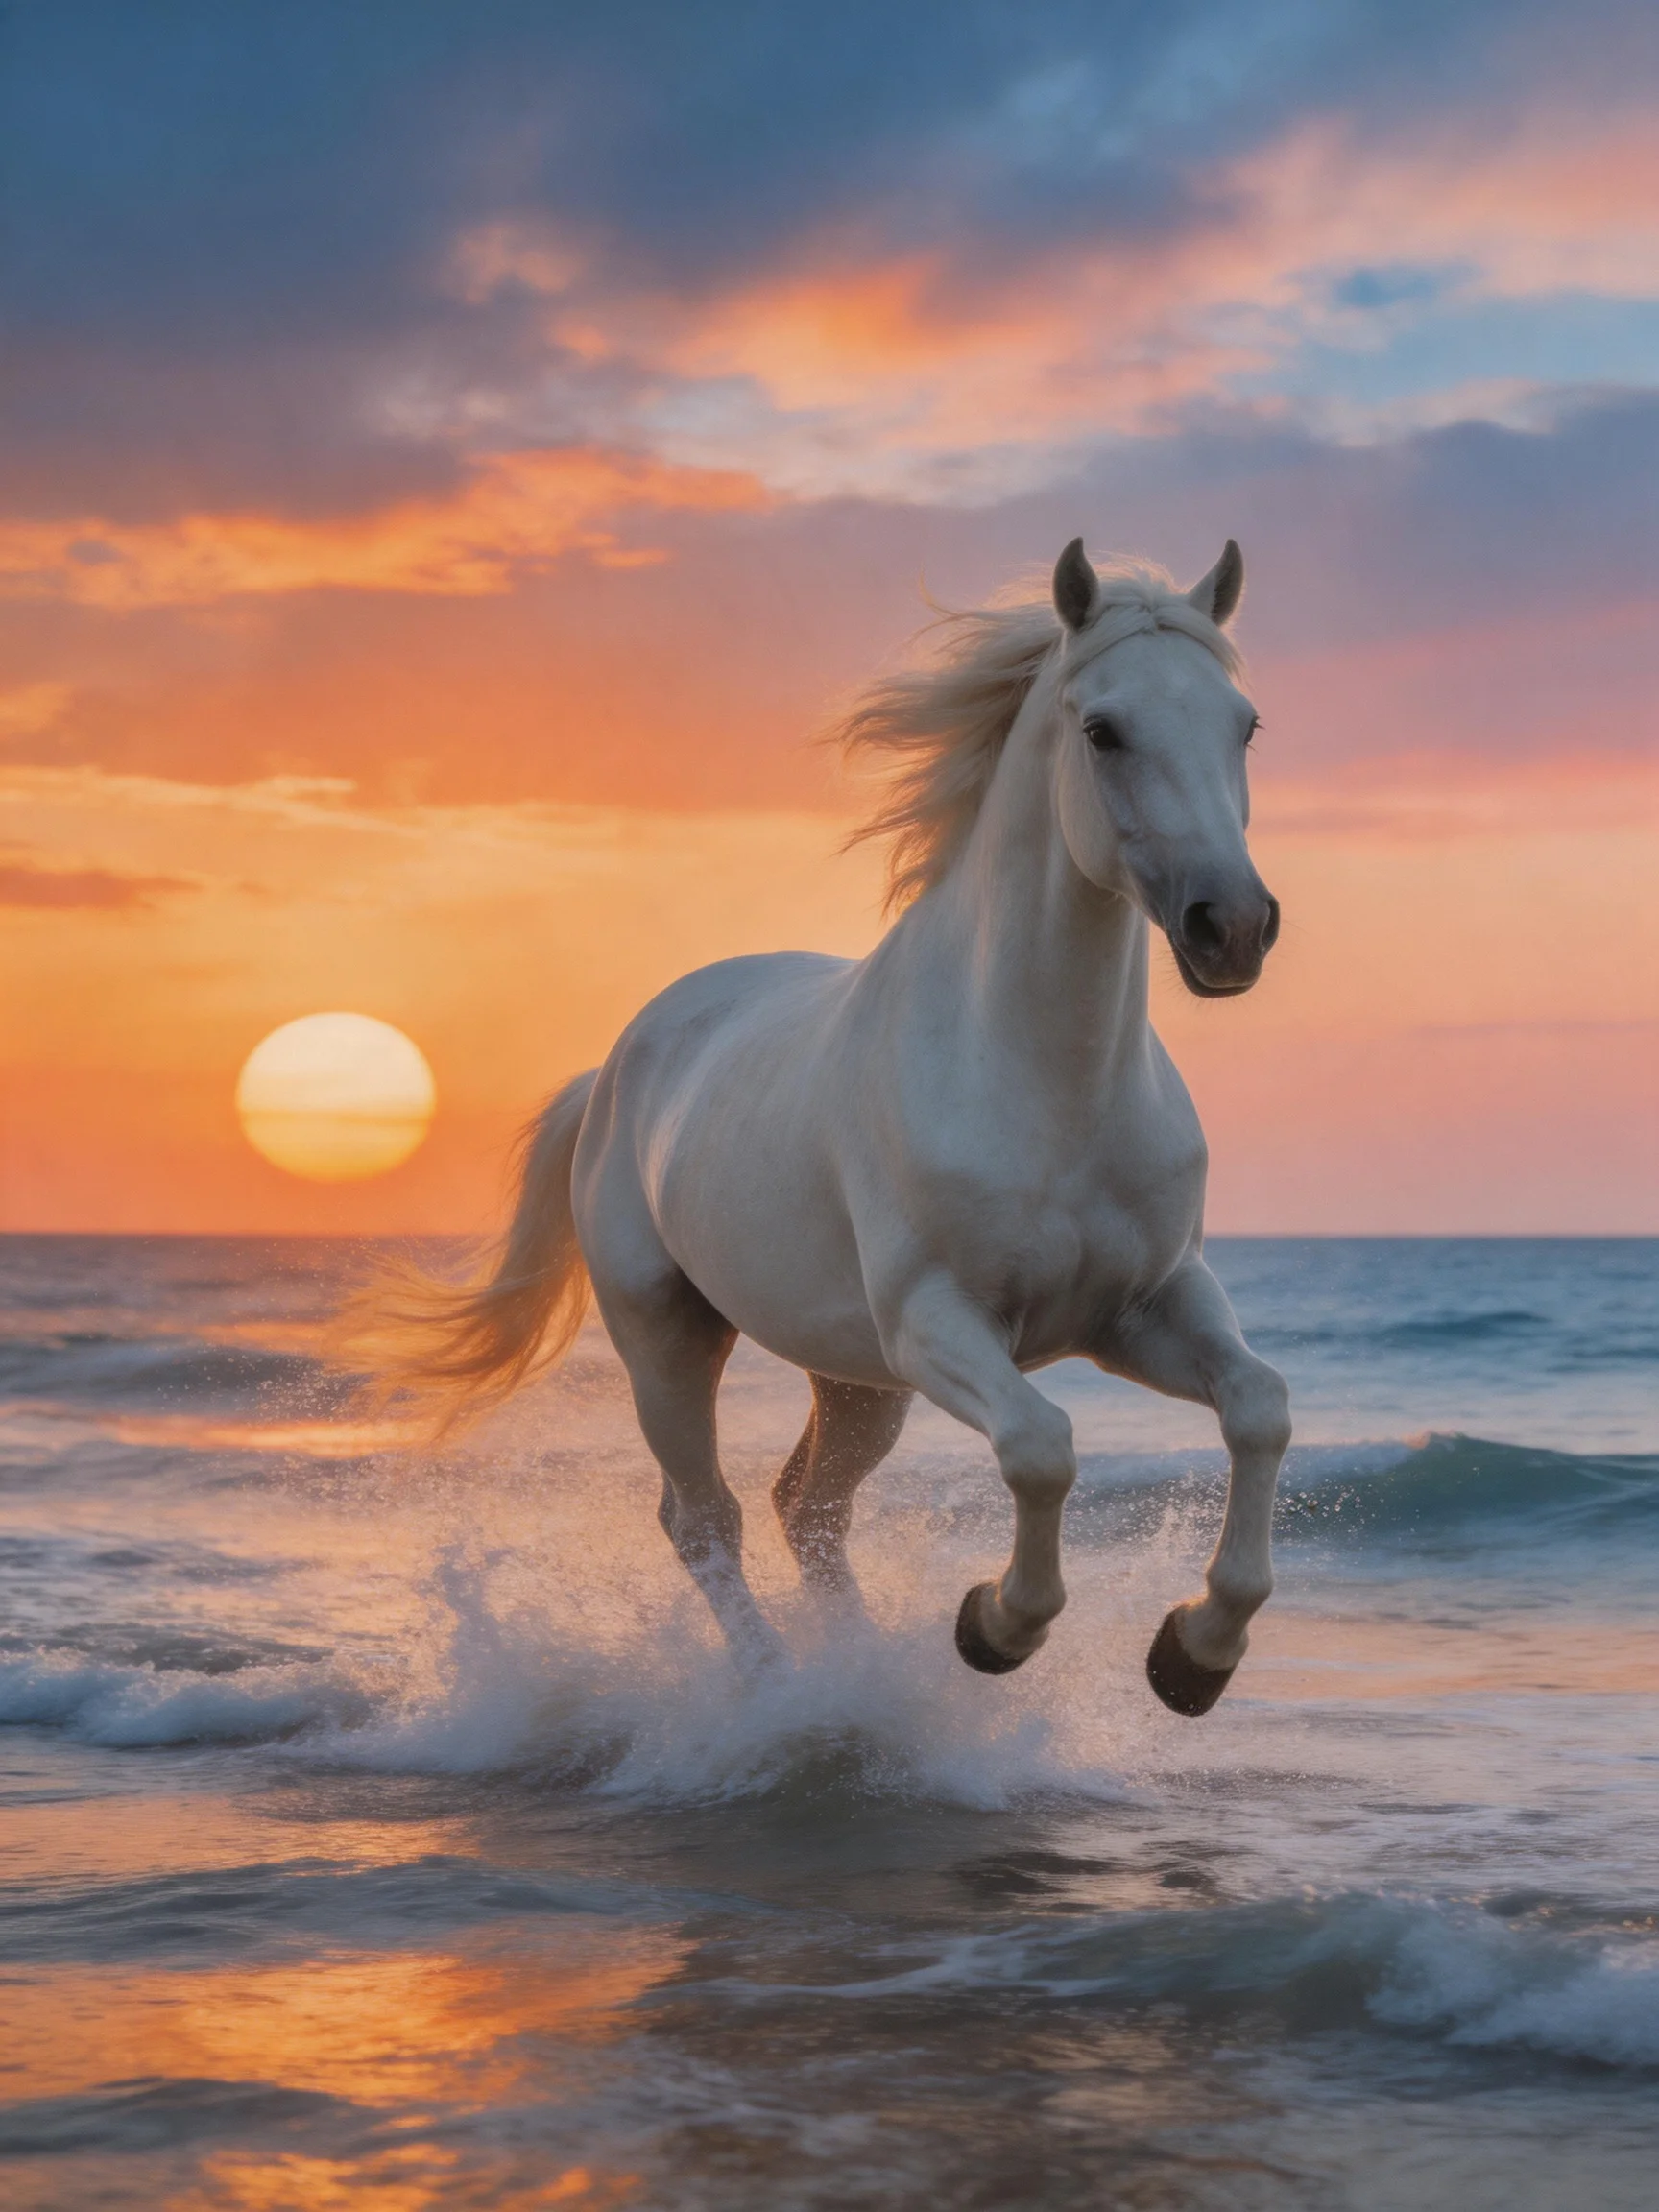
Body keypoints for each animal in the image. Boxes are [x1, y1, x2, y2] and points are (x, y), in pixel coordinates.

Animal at [361, 536, 1292, 1717]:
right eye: (1102, 730)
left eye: (1244, 724)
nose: (1234, 929)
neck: (1049, 1089)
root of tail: (619, 1065)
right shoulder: (939, 1323)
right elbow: (1042, 1447)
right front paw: (996, 1628)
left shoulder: (1148, 1305)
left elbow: (1259, 1408)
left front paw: (1194, 1653)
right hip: (670, 1337)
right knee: (703, 1517)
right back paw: (775, 1695)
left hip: (853, 1378)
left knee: (806, 1507)